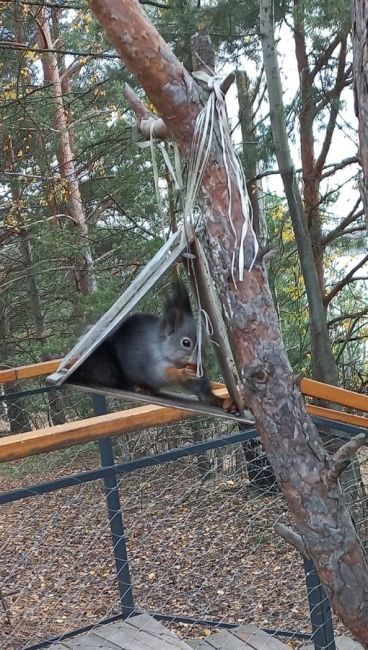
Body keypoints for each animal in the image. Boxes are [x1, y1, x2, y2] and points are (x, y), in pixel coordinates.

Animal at [73, 280, 233, 410]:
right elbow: (162, 375)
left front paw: (216, 399)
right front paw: (181, 373)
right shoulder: (152, 361)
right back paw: (143, 388)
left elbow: (201, 389)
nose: (201, 362)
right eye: (186, 342)